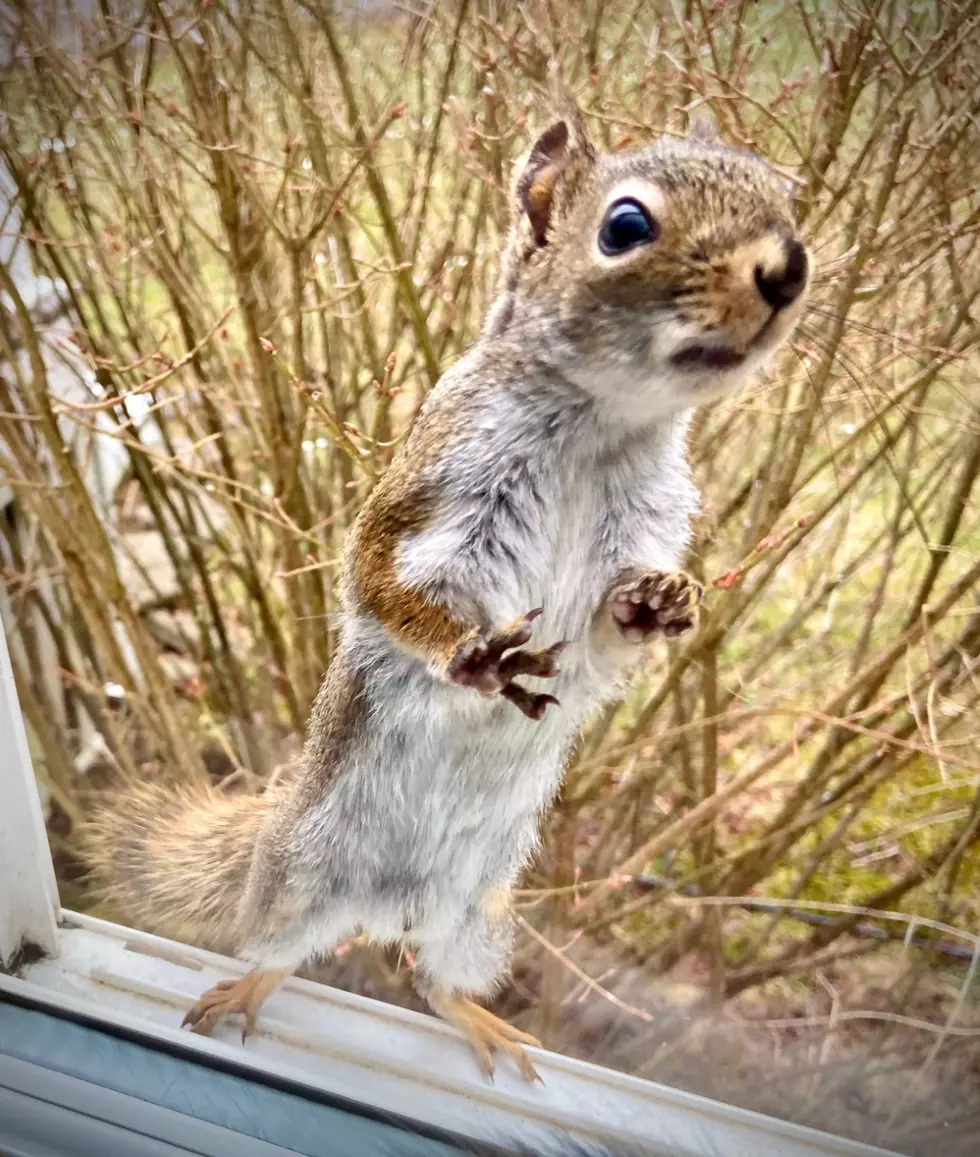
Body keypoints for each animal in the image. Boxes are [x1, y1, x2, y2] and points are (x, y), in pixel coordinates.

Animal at [87, 101, 809, 1082]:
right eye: (625, 226)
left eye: (787, 203)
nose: (787, 269)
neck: (602, 424)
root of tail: (381, 903)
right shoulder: (426, 493)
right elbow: (377, 584)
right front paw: (469, 656)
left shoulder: (644, 521)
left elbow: (606, 631)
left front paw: (661, 601)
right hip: (298, 880)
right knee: (283, 954)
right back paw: (246, 988)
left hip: (477, 916)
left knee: (431, 977)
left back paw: (480, 1020)